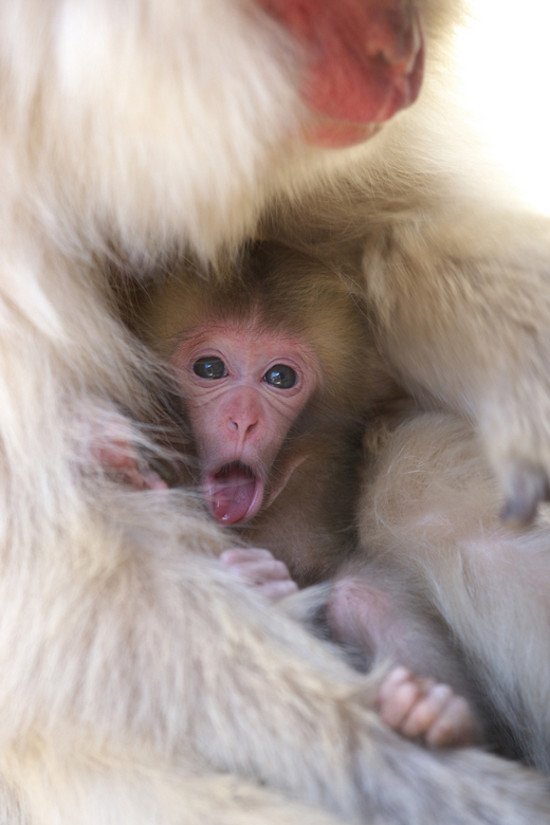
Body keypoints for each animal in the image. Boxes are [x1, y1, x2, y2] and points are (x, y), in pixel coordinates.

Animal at [133, 241, 484, 748]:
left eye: (280, 377)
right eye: (210, 368)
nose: (243, 420)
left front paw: (265, 581)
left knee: (361, 593)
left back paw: (431, 711)